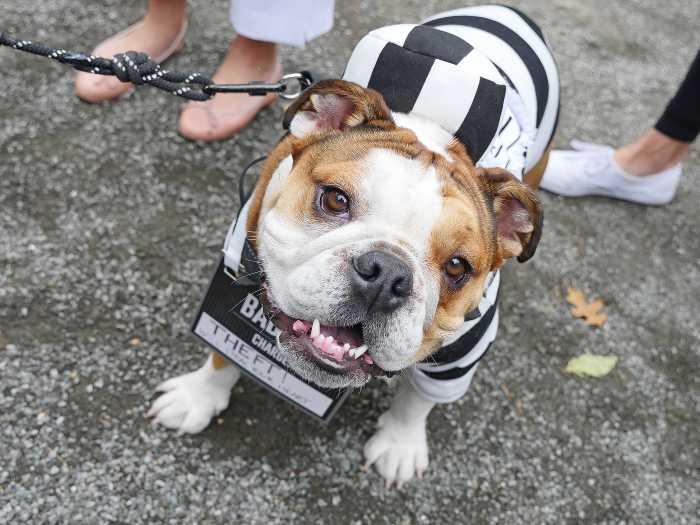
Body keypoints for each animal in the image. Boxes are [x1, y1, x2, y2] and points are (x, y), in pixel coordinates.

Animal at [148, 5, 559, 486]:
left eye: (458, 267)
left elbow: (417, 400)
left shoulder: (461, 353)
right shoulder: (234, 274)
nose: (386, 274)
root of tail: (507, 11)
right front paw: (199, 395)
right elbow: (222, 347)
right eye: (334, 199)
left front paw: (400, 444)